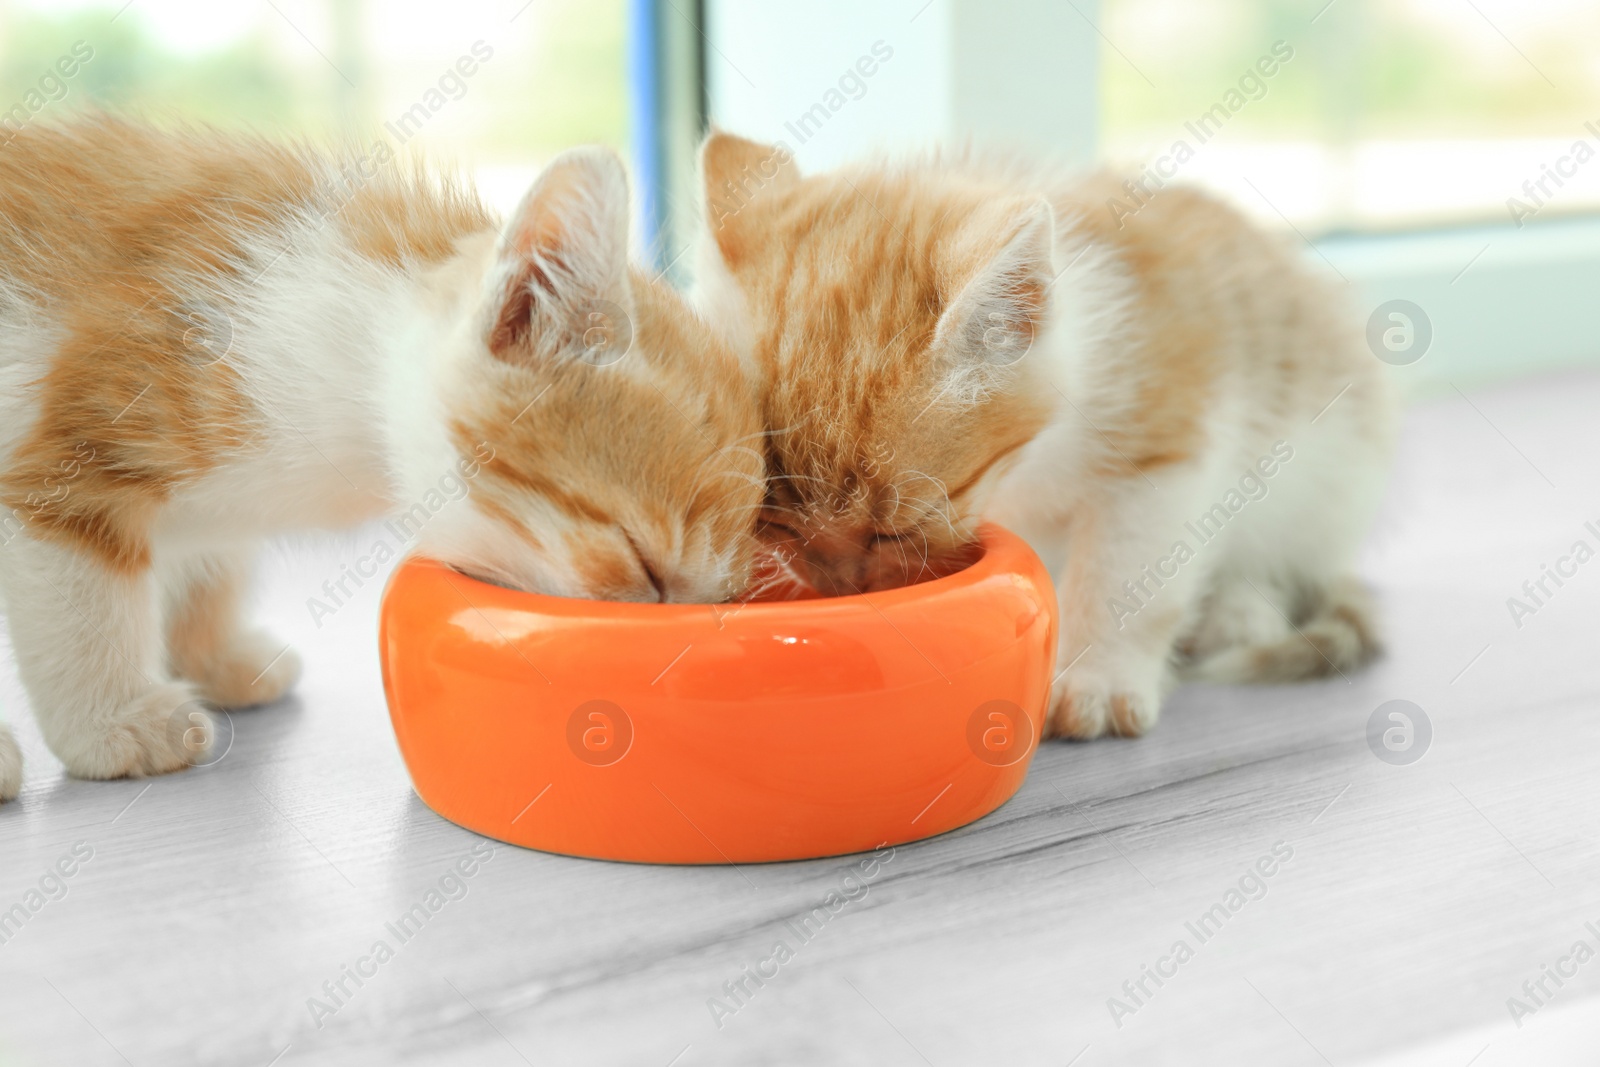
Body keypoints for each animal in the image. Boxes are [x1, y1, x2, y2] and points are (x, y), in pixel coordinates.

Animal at [0, 119, 764, 799]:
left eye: (713, 597)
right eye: (645, 566)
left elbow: (212, 560)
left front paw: (213, 656)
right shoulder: (96, 421)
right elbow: (74, 583)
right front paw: (114, 720)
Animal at [694, 133, 1395, 742]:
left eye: (893, 532)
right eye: (777, 527)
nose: (843, 589)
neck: (1028, 469)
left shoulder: (1169, 443)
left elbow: (1128, 571)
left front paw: (1097, 681)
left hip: (1330, 477)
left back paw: (1241, 609)